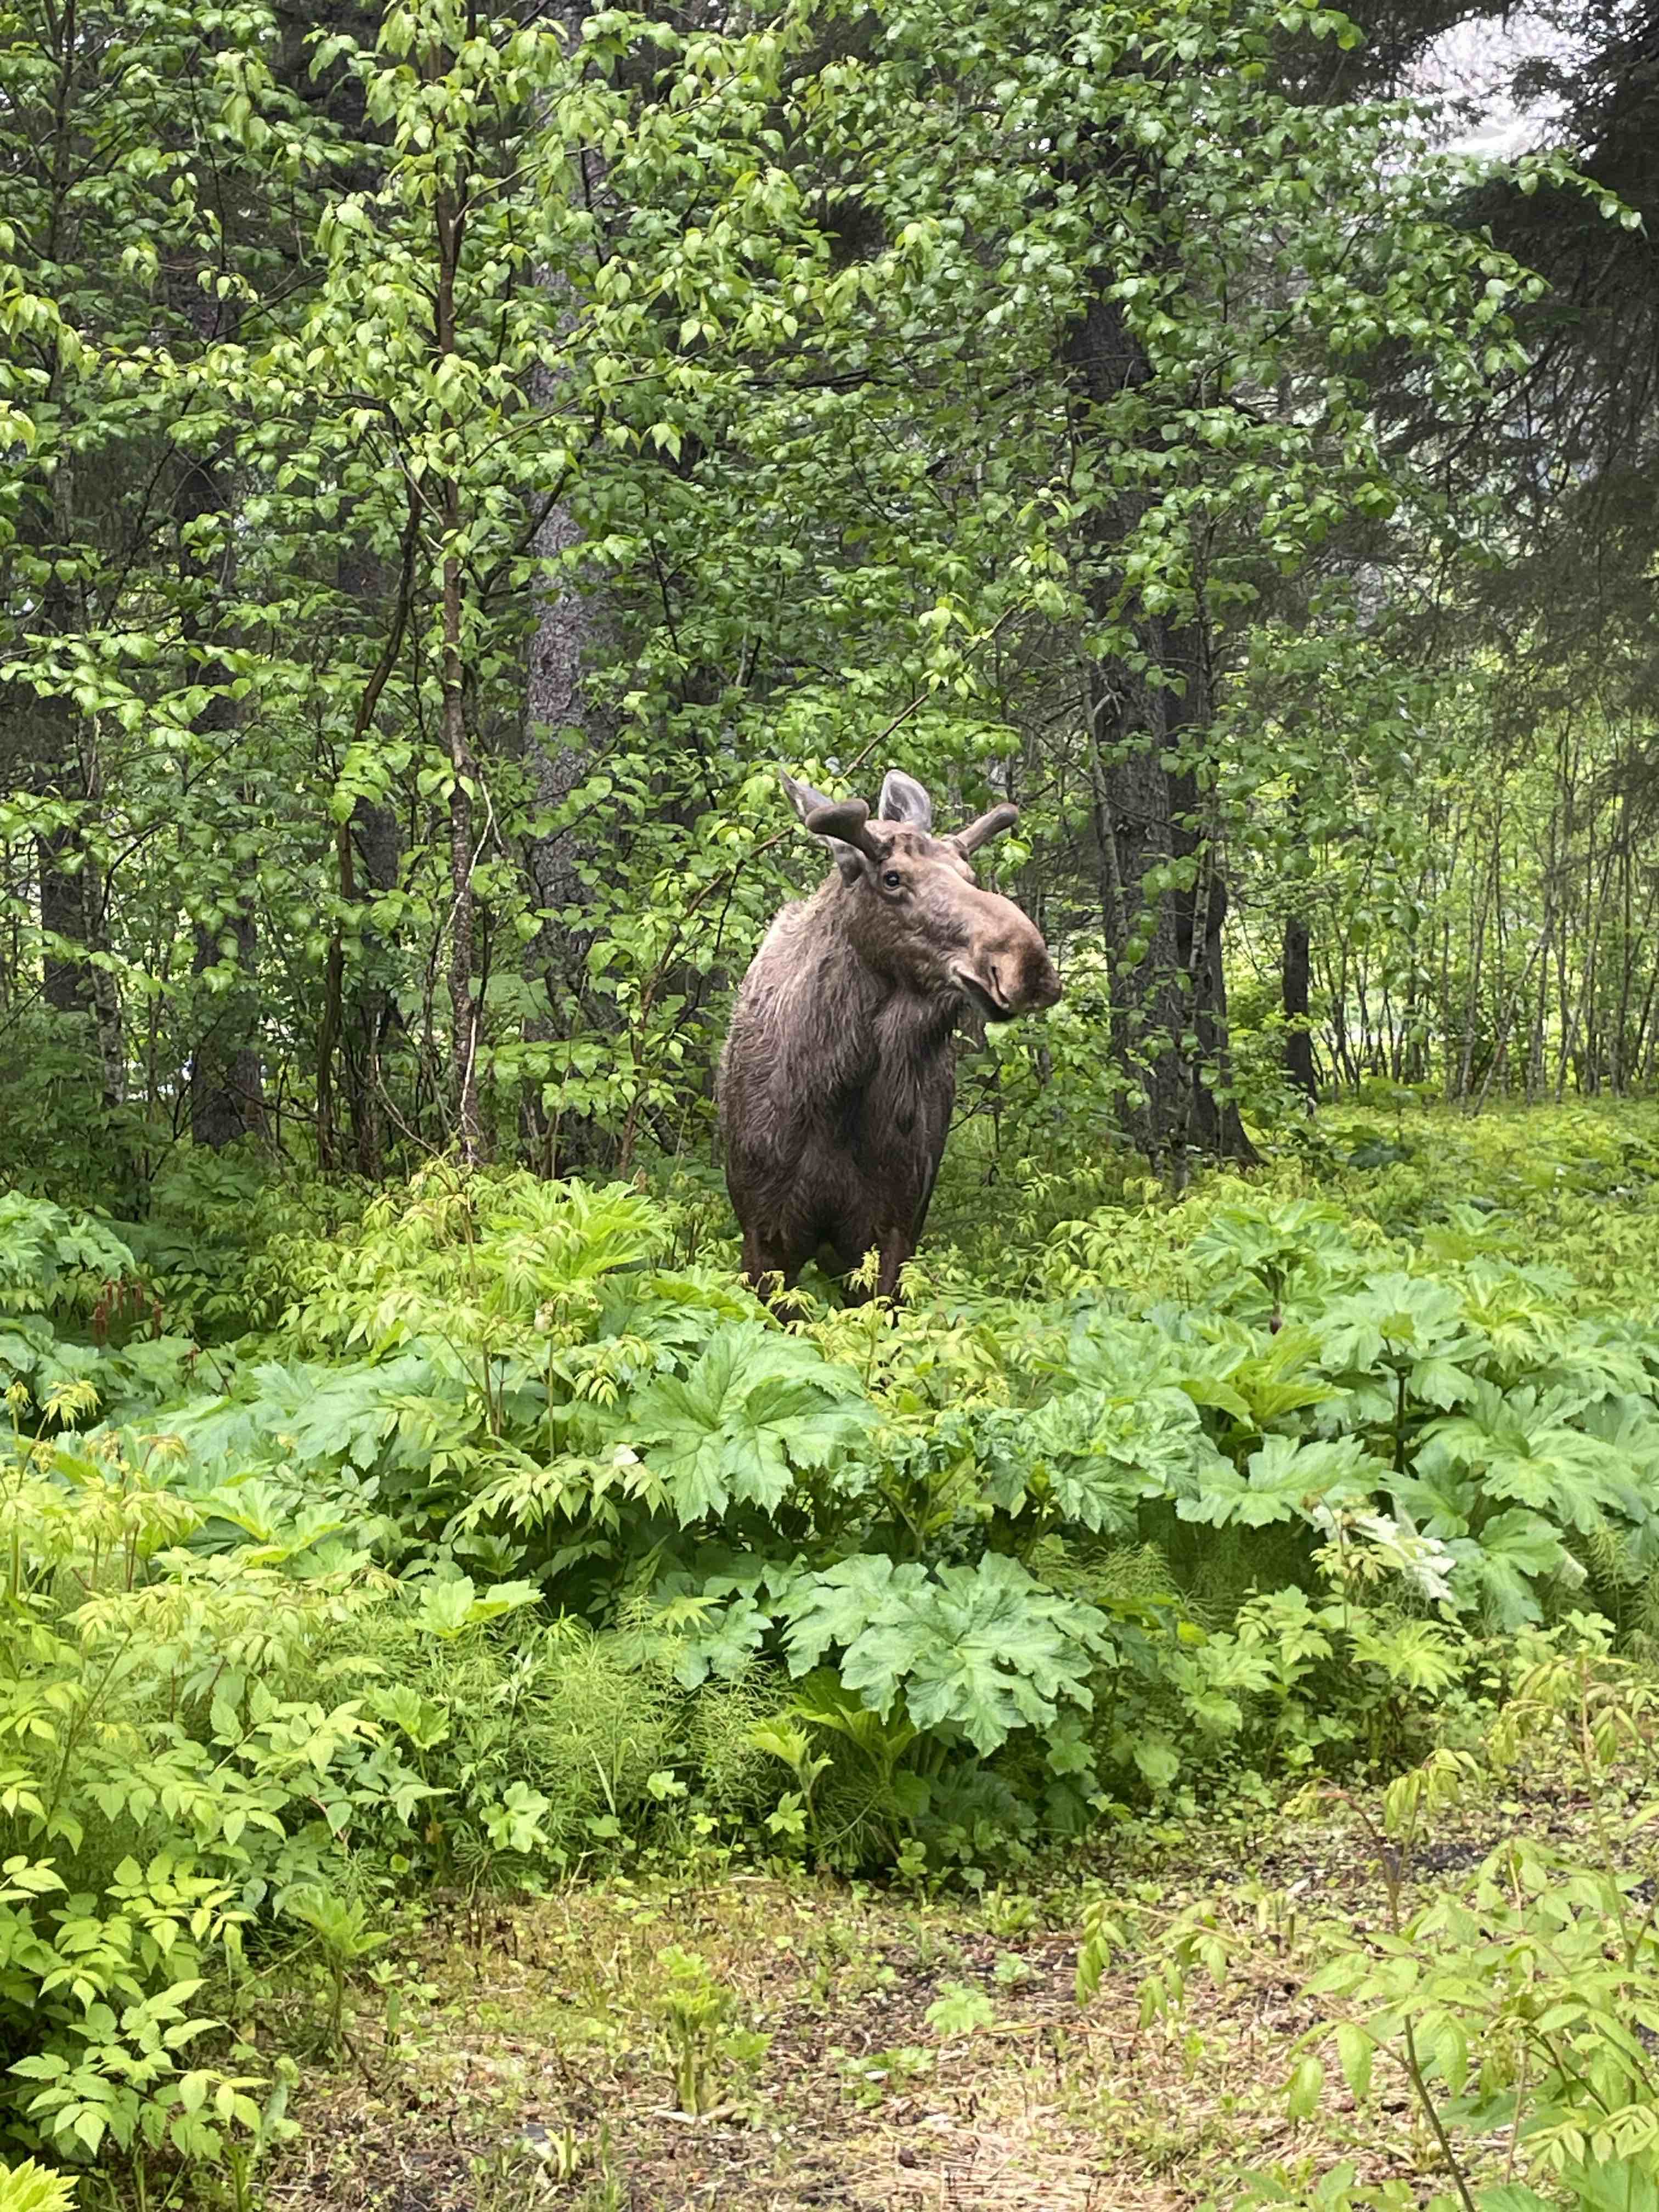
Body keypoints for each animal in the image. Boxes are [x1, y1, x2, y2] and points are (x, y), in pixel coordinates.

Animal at [718, 767, 1061, 1302]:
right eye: (892, 878)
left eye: (970, 877)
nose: (1027, 963)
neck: (833, 1089)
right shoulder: (765, 1235)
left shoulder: (889, 1232)